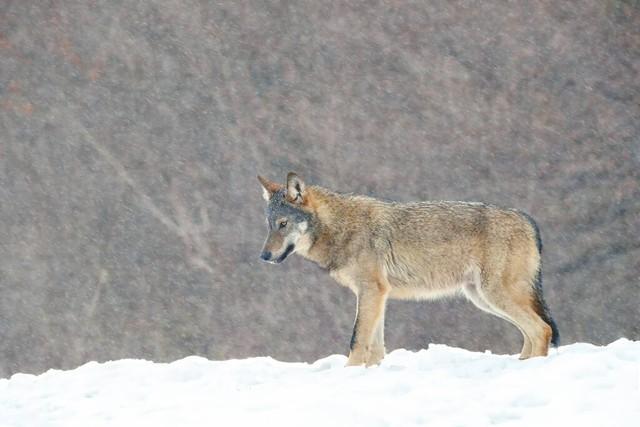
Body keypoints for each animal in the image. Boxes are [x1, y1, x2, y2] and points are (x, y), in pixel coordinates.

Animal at [258, 172, 556, 366]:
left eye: (283, 224)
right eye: (269, 225)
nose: (264, 256)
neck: (340, 227)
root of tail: (528, 219)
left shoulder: (372, 291)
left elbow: (357, 340)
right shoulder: (377, 295)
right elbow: (375, 348)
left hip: (494, 295)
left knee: (542, 330)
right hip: (483, 299)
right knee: (533, 332)